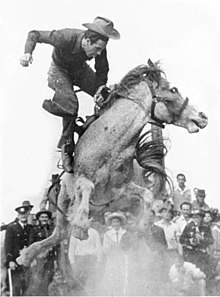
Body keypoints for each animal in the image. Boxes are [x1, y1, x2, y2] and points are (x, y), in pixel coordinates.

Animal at [17, 59, 208, 264]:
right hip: (63, 198)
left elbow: (147, 195)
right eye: (173, 89)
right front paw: (81, 227)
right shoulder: (82, 179)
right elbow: (87, 188)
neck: (112, 145)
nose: (203, 116)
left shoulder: (121, 189)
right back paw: (26, 256)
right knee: (59, 233)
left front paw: (141, 226)